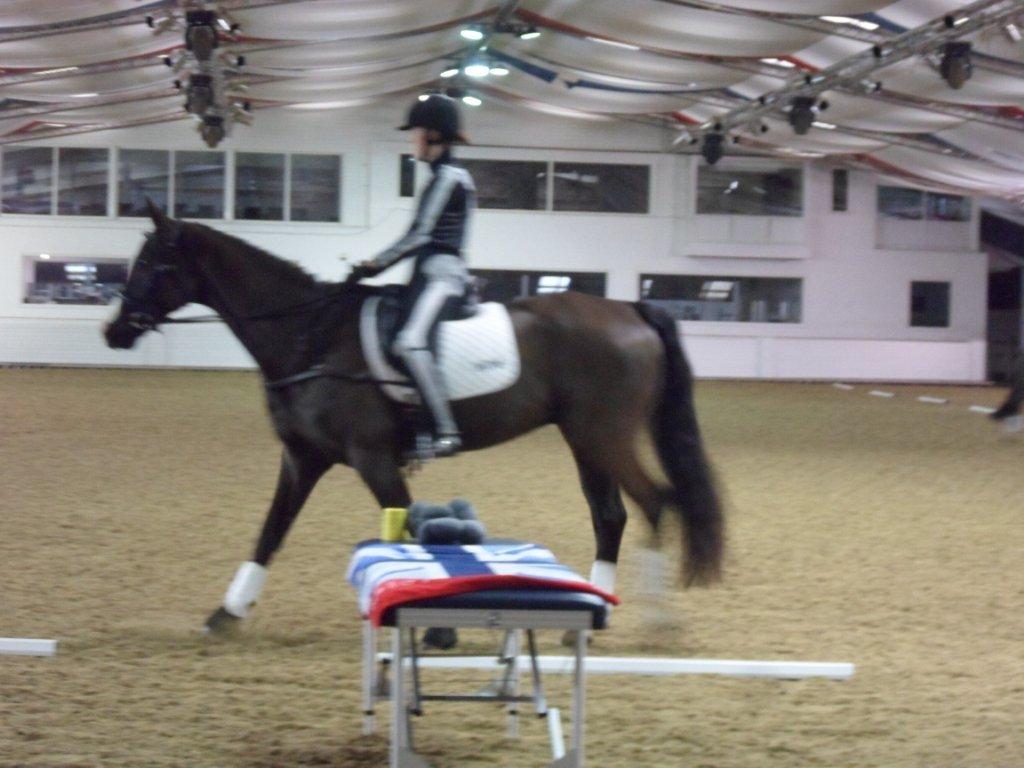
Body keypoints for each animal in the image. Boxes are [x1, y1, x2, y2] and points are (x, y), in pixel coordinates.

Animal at [104, 203, 724, 637]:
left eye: (152, 264)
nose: (114, 331)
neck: (310, 336)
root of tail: (629, 309)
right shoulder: (302, 458)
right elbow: (270, 531)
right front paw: (227, 612)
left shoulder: (373, 459)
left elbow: (409, 536)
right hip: (585, 440)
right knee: (610, 516)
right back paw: (596, 611)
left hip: (604, 434)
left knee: (654, 504)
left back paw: (656, 620)